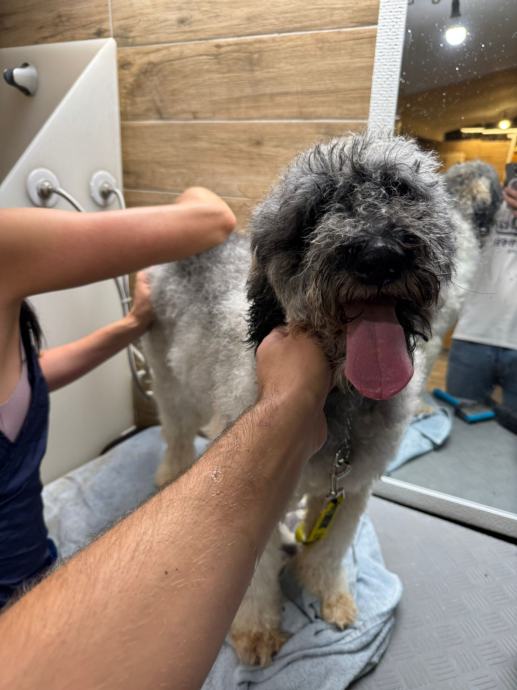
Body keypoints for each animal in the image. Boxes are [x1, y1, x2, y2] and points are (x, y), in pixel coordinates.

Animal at [144, 131, 457, 666]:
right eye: (315, 211)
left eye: (400, 189)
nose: (380, 255)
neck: (342, 401)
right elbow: (253, 578)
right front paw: (255, 630)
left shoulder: (350, 487)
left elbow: (331, 549)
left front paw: (326, 590)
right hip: (172, 381)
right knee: (177, 433)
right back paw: (171, 474)